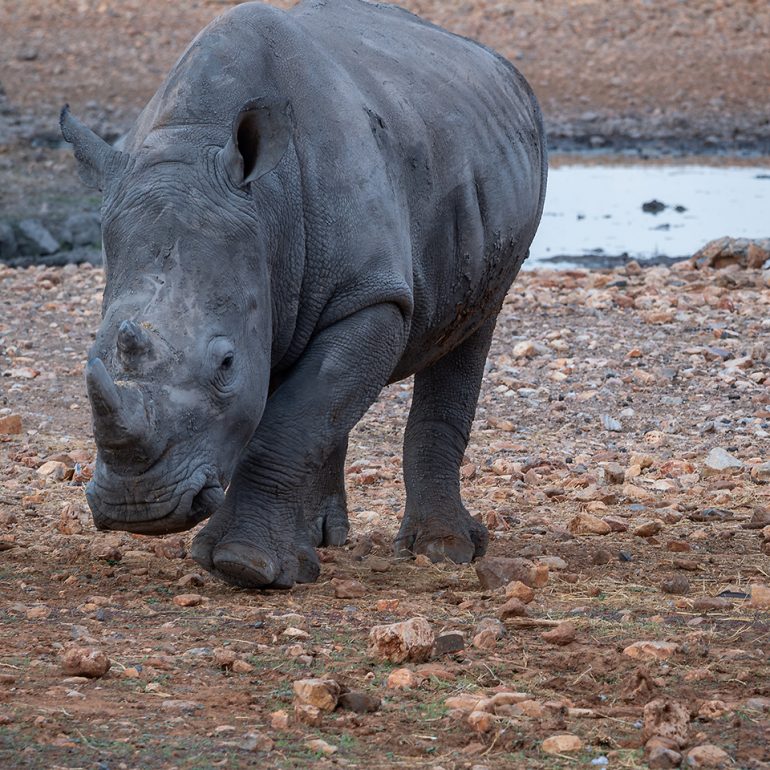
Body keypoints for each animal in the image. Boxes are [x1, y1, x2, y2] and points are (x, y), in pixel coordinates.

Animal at [61, 0, 546, 589]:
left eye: (226, 364)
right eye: (95, 352)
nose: (138, 507)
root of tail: (499, 64)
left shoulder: (371, 296)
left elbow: (292, 422)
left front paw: (245, 565)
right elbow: (301, 410)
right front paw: (273, 562)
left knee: (471, 326)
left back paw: (443, 551)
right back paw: (322, 541)